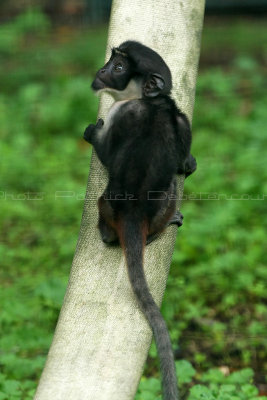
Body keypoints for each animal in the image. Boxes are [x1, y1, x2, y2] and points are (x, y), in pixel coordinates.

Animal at [84, 41, 197, 400]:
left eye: (119, 67)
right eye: (111, 61)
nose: (102, 71)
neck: (154, 102)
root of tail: (133, 214)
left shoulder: (123, 113)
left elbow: (107, 153)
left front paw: (92, 133)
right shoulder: (182, 120)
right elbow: (183, 163)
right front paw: (189, 162)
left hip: (106, 206)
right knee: (172, 184)